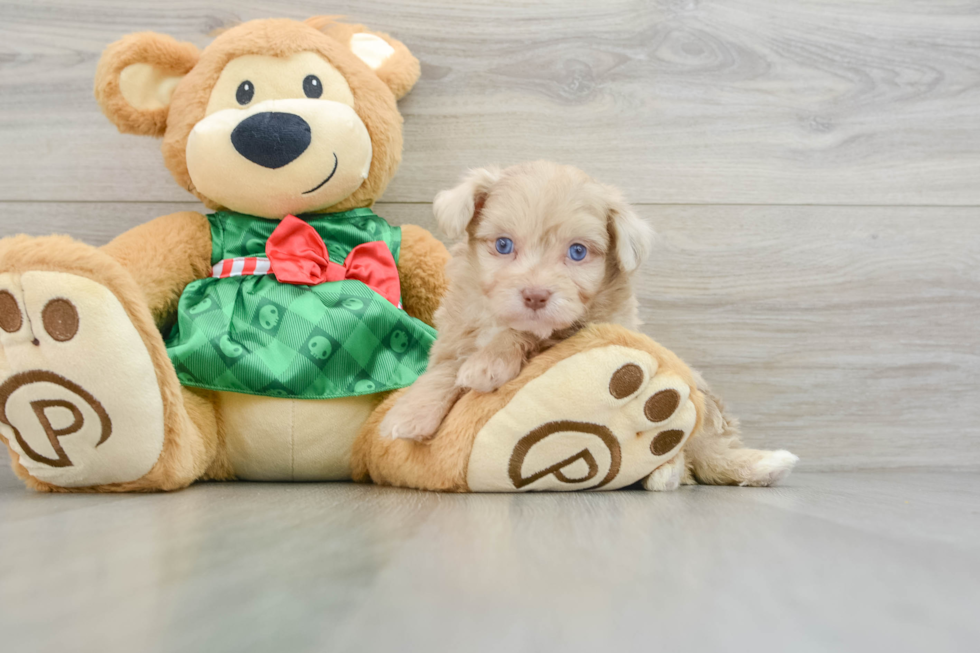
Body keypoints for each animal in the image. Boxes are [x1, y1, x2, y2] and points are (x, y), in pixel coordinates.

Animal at [380, 160, 652, 440]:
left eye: (578, 251)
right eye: (503, 245)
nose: (536, 296)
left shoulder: (587, 328)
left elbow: (524, 333)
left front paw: (487, 363)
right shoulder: (455, 332)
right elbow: (445, 367)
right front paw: (410, 413)